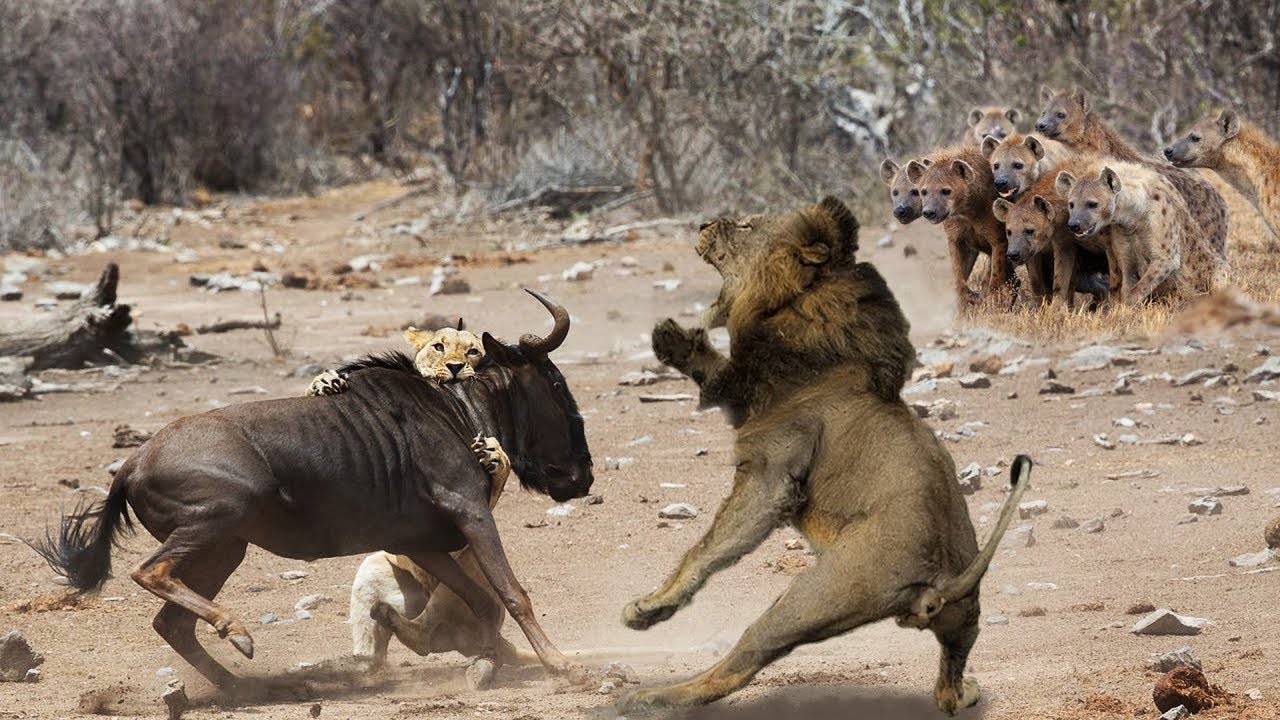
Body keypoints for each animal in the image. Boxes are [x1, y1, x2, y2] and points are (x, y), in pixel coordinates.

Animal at [620, 196, 1031, 715]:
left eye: (746, 225)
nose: (703, 223)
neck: (793, 304)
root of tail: (942, 581)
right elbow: (714, 369)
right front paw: (674, 339)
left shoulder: (772, 468)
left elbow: (707, 548)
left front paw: (652, 607)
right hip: (963, 619)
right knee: (950, 686)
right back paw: (966, 690)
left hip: (811, 595)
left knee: (740, 661)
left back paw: (655, 696)